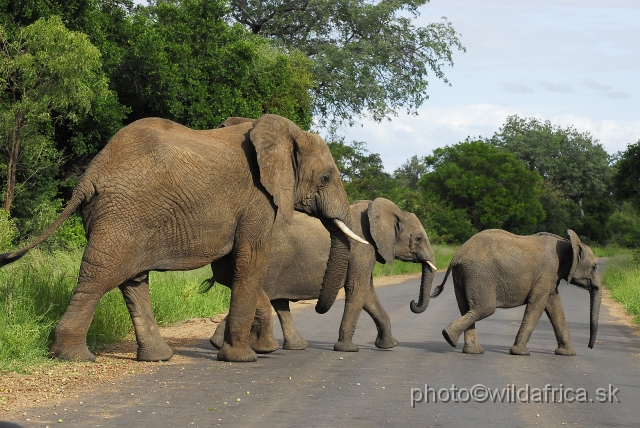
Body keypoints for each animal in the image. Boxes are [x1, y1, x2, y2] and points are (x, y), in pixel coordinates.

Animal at [0, 113, 358, 362]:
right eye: (326, 177)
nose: (320, 307)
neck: (282, 132)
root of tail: (90, 175)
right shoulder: (256, 199)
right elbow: (251, 261)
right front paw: (244, 359)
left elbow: (231, 268)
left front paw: (255, 351)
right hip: (123, 214)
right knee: (100, 276)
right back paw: (74, 357)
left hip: (124, 218)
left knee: (132, 279)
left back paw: (157, 357)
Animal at [208, 197, 438, 352]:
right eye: (418, 238)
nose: (413, 303)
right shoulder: (362, 248)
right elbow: (358, 289)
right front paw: (348, 349)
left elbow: (368, 295)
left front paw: (389, 345)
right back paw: (218, 343)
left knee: (278, 301)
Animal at [428, 229, 604, 356]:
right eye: (594, 267)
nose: (590, 347)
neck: (568, 243)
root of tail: (458, 254)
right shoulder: (547, 273)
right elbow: (538, 305)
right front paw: (521, 353)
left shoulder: (551, 278)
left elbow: (554, 307)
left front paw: (567, 354)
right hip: (478, 275)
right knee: (484, 309)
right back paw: (449, 337)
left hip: (463, 275)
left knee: (467, 308)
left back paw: (469, 349)